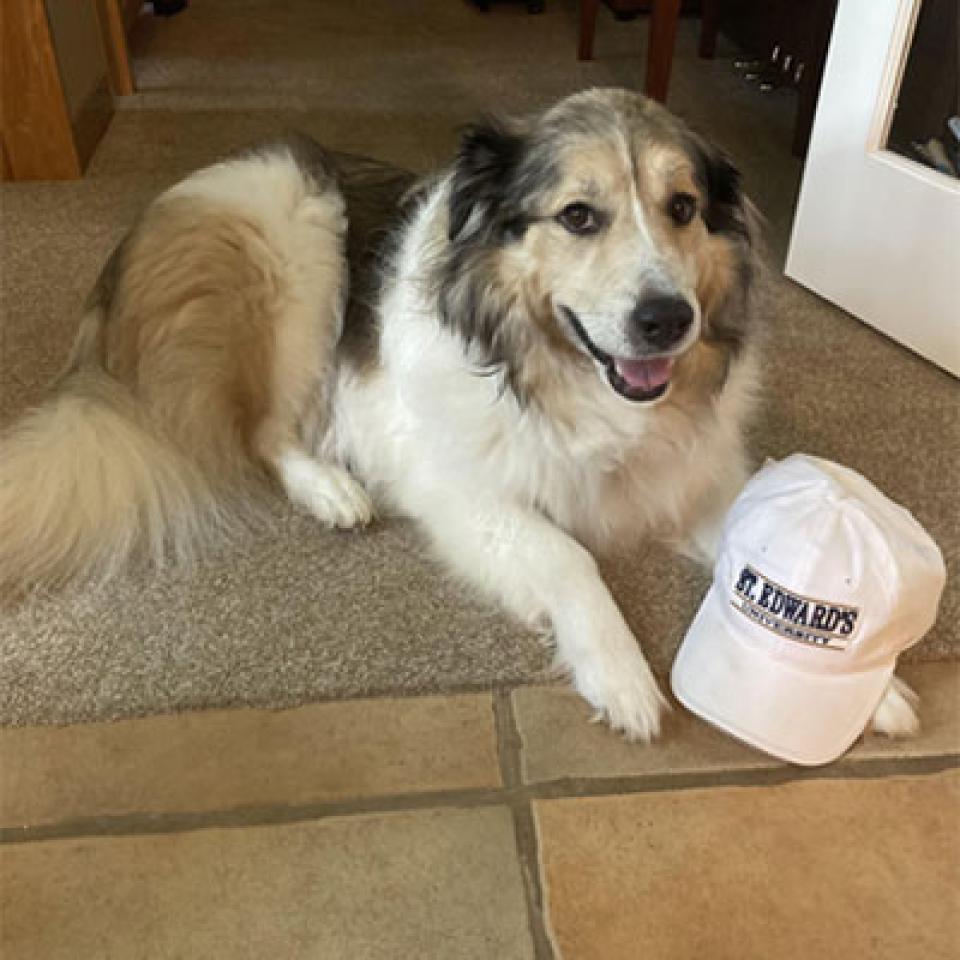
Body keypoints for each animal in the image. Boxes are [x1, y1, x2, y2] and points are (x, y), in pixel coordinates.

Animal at [0, 88, 920, 736]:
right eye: (578, 215)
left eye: (684, 208)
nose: (668, 319)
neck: (559, 377)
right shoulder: (461, 490)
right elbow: (568, 557)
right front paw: (621, 674)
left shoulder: (686, 478)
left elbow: (754, 542)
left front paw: (865, 688)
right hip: (298, 244)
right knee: (261, 433)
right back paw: (331, 489)